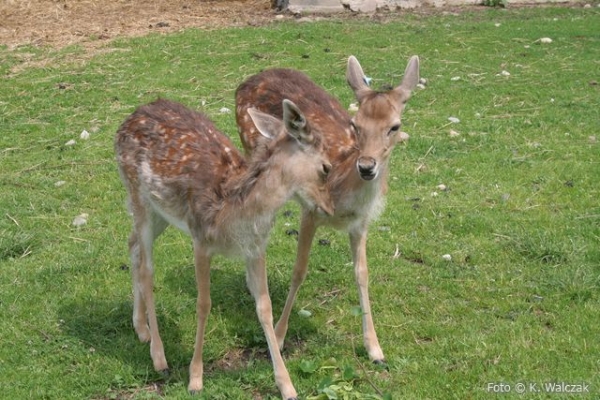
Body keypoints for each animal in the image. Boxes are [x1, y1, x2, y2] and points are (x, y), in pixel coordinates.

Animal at [115, 97, 336, 400]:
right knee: (147, 269)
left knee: (132, 244)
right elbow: (203, 304)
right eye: (326, 167)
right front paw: (195, 378)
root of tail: (127, 120)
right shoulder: (200, 239)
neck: (235, 214)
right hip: (138, 194)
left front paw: (287, 386)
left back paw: (140, 328)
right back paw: (158, 356)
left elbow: (265, 306)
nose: (330, 209)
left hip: (160, 212)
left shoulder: (256, 248)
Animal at [234, 55, 418, 366]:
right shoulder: (310, 211)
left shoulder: (360, 224)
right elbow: (299, 270)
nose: (366, 166)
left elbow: (362, 273)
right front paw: (279, 337)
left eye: (395, 126)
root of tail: (247, 80)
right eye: (356, 125)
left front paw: (375, 348)